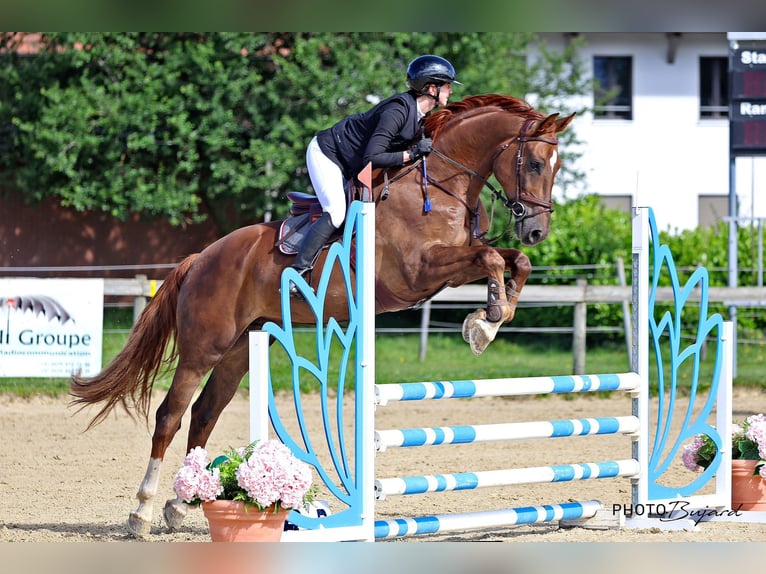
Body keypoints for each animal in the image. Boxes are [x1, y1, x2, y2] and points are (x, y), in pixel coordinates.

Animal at [70, 94, 574, 537]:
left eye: (557, 167)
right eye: (533, 163)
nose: (536, 229)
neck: (443, 182)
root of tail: (201, 257)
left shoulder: (450, 265)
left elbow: (511, 260)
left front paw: (491, 316)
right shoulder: (418, 273)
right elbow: (490, 257)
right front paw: (485, 322)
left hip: (241, 347)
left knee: (206, 413)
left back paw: (180, 504)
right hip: (204, 346)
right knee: (170, 416)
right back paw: (142, 513)